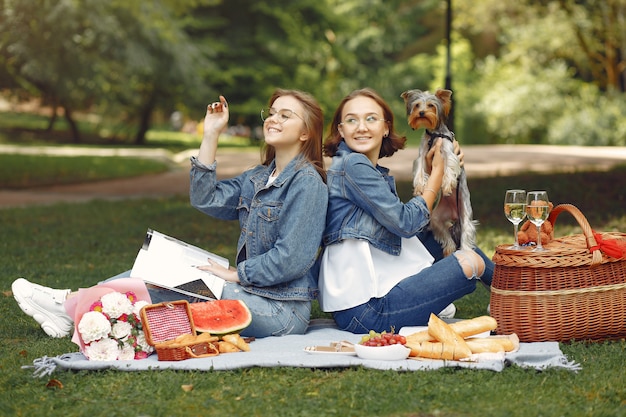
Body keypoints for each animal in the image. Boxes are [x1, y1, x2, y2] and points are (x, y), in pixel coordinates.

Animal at [402, 88, 476, 255]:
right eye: (417, 105)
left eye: (431, 105)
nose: (421, 112)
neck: (434, 134)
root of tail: (454, 215)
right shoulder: (422, 154)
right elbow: (419, 170)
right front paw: (419, 187)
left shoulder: (449, 152)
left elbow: (449, 166)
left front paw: (447, 185)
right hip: (435, 217)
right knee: (444, 233)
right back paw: (449, 249)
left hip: (465, 214)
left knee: (466, 231)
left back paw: (465, 251)